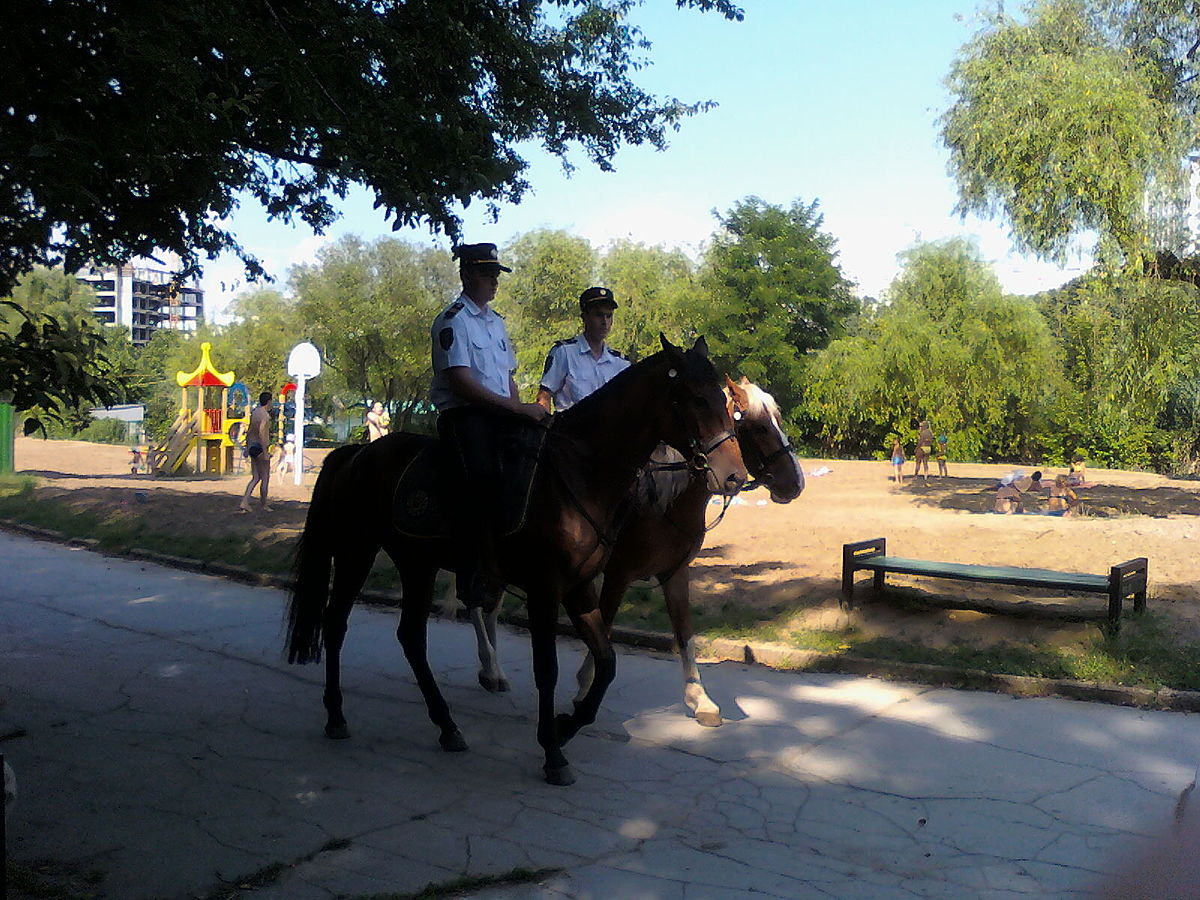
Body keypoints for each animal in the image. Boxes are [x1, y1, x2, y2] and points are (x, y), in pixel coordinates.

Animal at [285, 336, 744, 787]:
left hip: (417, 564)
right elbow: (547, 669)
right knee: (337, 623)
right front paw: (553, 752)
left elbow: (607, 663)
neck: (578, 477)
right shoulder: (546, 589)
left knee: (411, 637)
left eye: (725, 400)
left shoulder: (581, 587)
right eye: (697, 398)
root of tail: (356, 454)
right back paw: (337, 714)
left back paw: (447, 725)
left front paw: (566, 725)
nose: (734, 476)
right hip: (357, 553)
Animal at [470, 376, 806, 729]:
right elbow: (603, 626)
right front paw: (585, 687)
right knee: (477, 604)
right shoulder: (618, 575)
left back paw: (494, 670)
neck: (662, 501)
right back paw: (490, 669)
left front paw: (700, 700)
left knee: (490, 607)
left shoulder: (675, 573)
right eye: (759, 427)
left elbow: (684, 632)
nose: (795, 483)